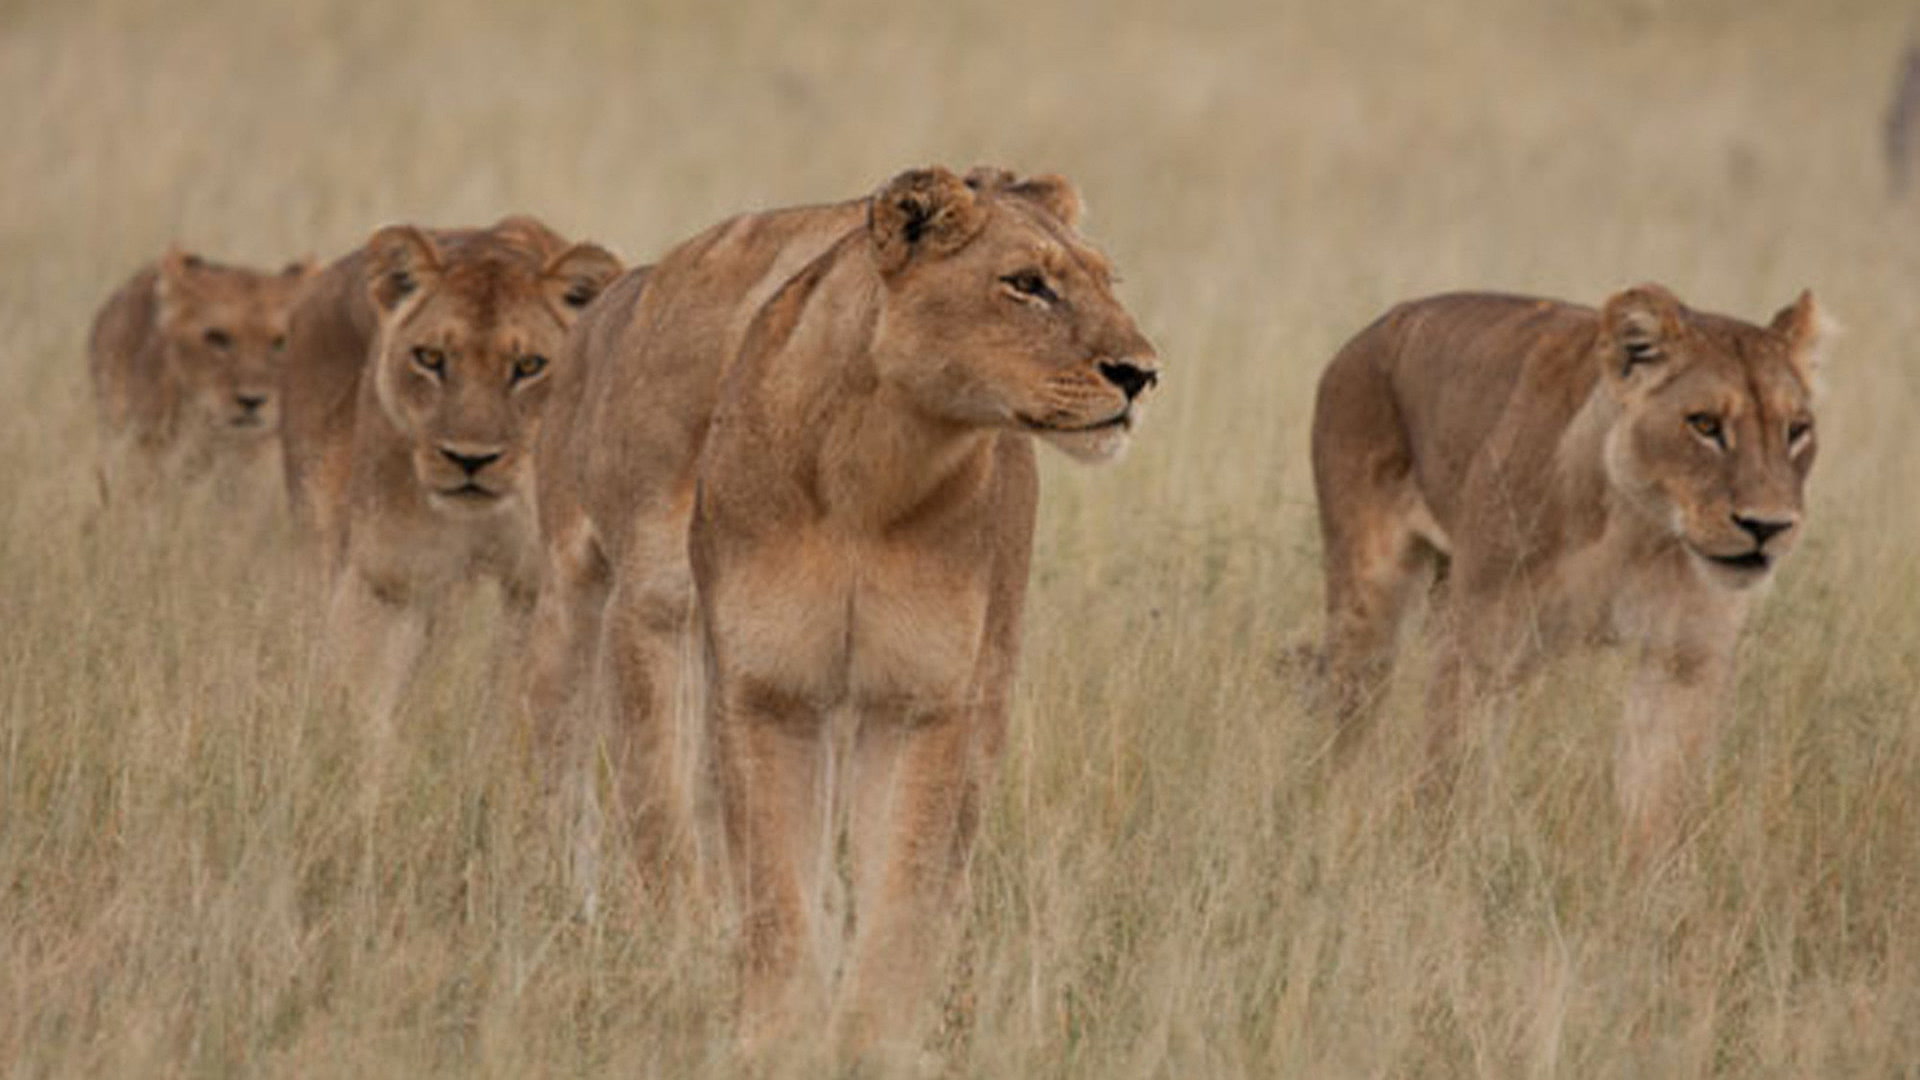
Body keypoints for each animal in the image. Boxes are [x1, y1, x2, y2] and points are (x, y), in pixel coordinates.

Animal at [278, 215, 622, 721]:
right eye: (430, 358)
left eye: (528, 365)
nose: (469, 459)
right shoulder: (393, 575)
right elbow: (359, 693)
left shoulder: (537, 585)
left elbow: (516, 695)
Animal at [529, 166, 1159, 1056]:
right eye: (1026, 285)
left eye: (1108, 281)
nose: (1142, 373)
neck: (873, 466)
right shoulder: (765, 687)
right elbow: (765, 876)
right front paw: (773, 1033)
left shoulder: (925, 699)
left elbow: (906, 881)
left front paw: (874, 1038)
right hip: (601, 606)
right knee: (604, 784)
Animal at [1311, 283, 1825, 853]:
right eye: (1705, 425)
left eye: (1797, 431)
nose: (1768, 526)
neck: (1636, 527)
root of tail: (1373, 330)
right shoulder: (1483, 649)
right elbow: (1452, 777)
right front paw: (1444, 861)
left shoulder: (1684, 659)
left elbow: (1658, 802)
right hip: (1369, 602)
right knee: (1350, 726)